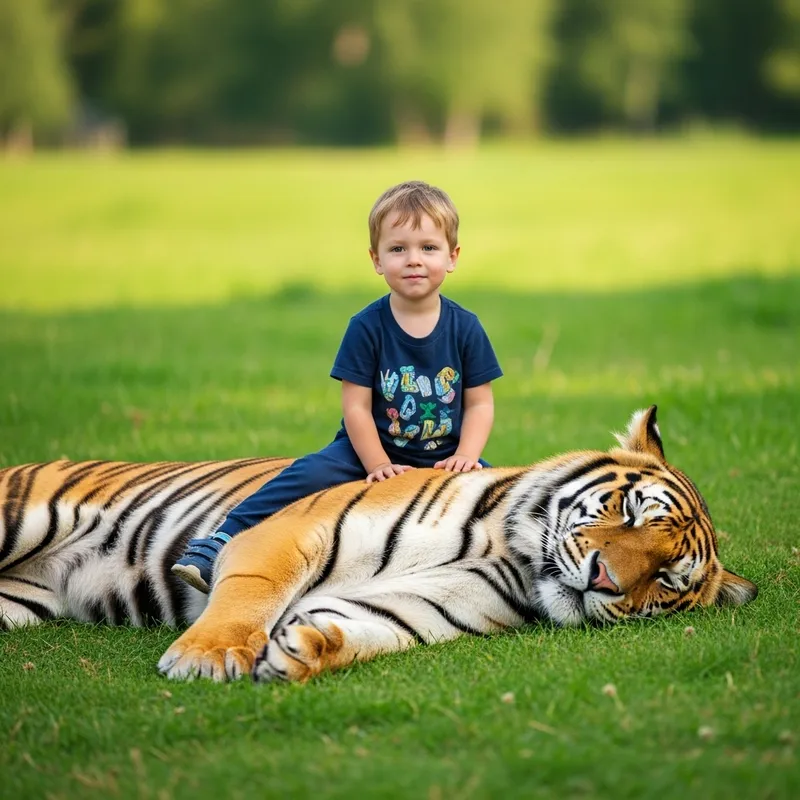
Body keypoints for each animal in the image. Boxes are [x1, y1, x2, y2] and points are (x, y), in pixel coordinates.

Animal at [0, 406, 756, 683]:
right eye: (629, 511)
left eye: (665, 579)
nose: (604, 579)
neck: (506, 555)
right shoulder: (285, 533)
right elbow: (248, 597)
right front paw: (206, 657)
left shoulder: (430, 604)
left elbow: (365, 625)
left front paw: (305, 651)